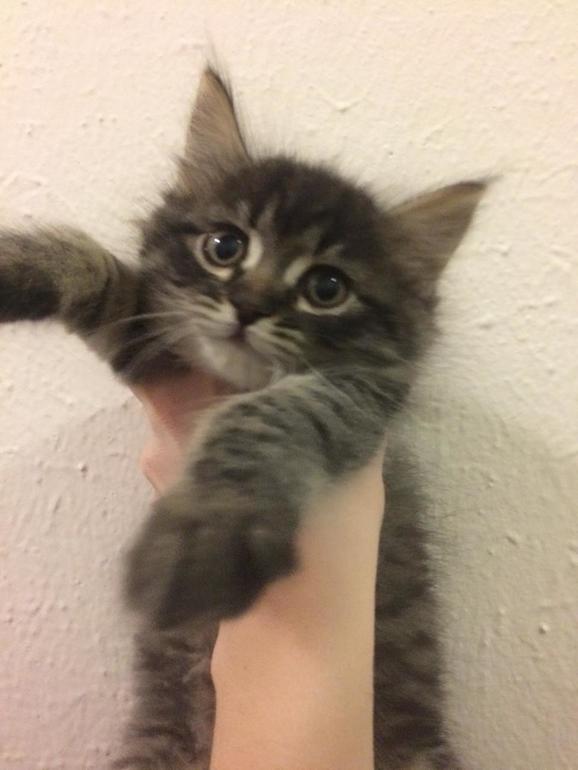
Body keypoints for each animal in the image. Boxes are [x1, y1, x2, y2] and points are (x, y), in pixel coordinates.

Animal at [0, 67, 486, 769]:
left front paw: (205, 532)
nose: (249, 307)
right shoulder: (152, 340)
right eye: (224, 247)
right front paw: (16, 265)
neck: (226, 381)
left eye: (326, 288)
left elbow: (267, 417)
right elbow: (92, 266)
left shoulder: (357, 400)